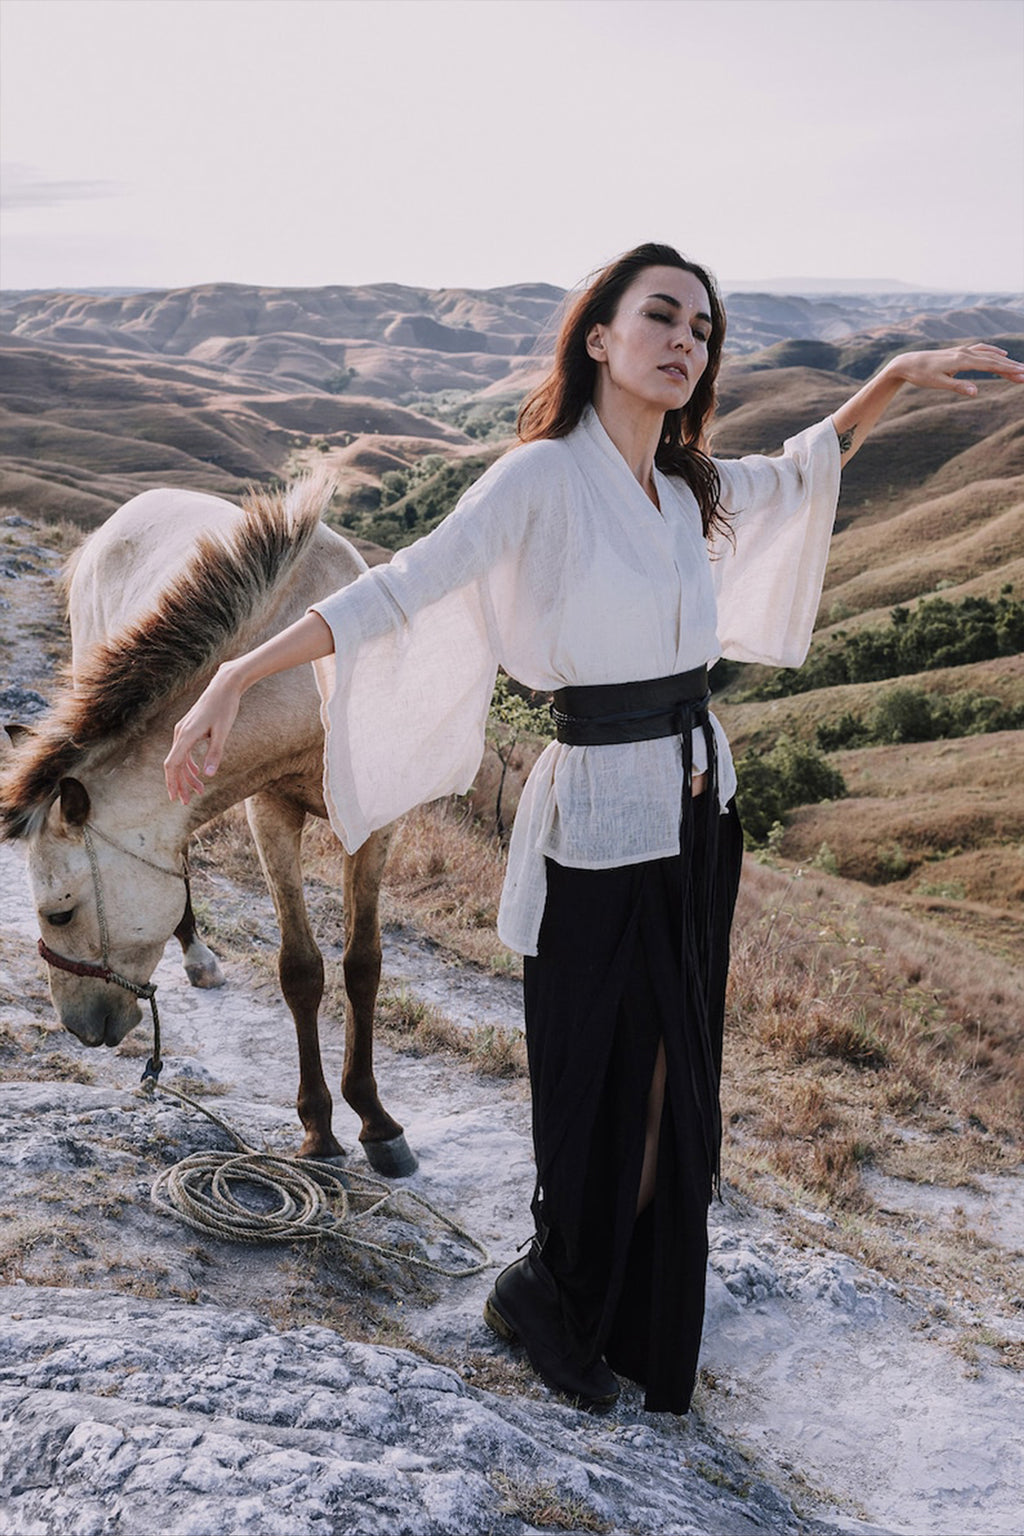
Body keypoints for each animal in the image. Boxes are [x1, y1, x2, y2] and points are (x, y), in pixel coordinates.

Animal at [1, 476, 417, 1173]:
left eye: (59, 914)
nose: (77, 1028)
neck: (309, 685)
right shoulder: (270, 811)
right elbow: (300, 969)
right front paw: (319, 1127)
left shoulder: (378, 826)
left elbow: (363, 964)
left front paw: (377, 1122)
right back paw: (197, 955)